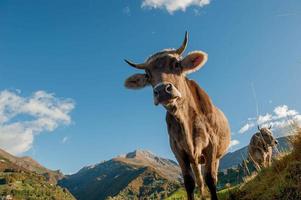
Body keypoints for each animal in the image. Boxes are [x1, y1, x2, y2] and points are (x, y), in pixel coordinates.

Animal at [123, 32, 231, 199]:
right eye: (147, 75)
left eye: (177, 64)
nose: (162, 90)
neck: (186, 122)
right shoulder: (178, 152)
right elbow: (189, 183)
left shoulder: (211, 146)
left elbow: (211, 178)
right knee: (199, 181)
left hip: (215, 156)